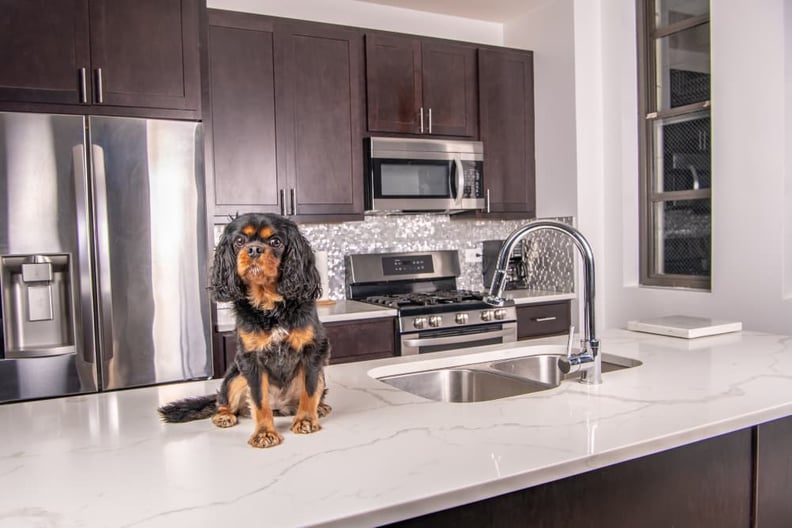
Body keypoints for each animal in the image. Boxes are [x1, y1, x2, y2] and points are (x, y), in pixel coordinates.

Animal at [158, 212, 332, 448]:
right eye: (239, 241)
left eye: (275, 242)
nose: (254, 249)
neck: (270, 306)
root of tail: (281, 407)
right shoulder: (250, 359)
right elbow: (259, 401)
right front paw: (264, 433)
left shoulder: (313, 351)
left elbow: (310, 389)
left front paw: (305, 419)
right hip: (235, 376)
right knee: (223, 401)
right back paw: (224, 416)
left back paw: (319, 408)